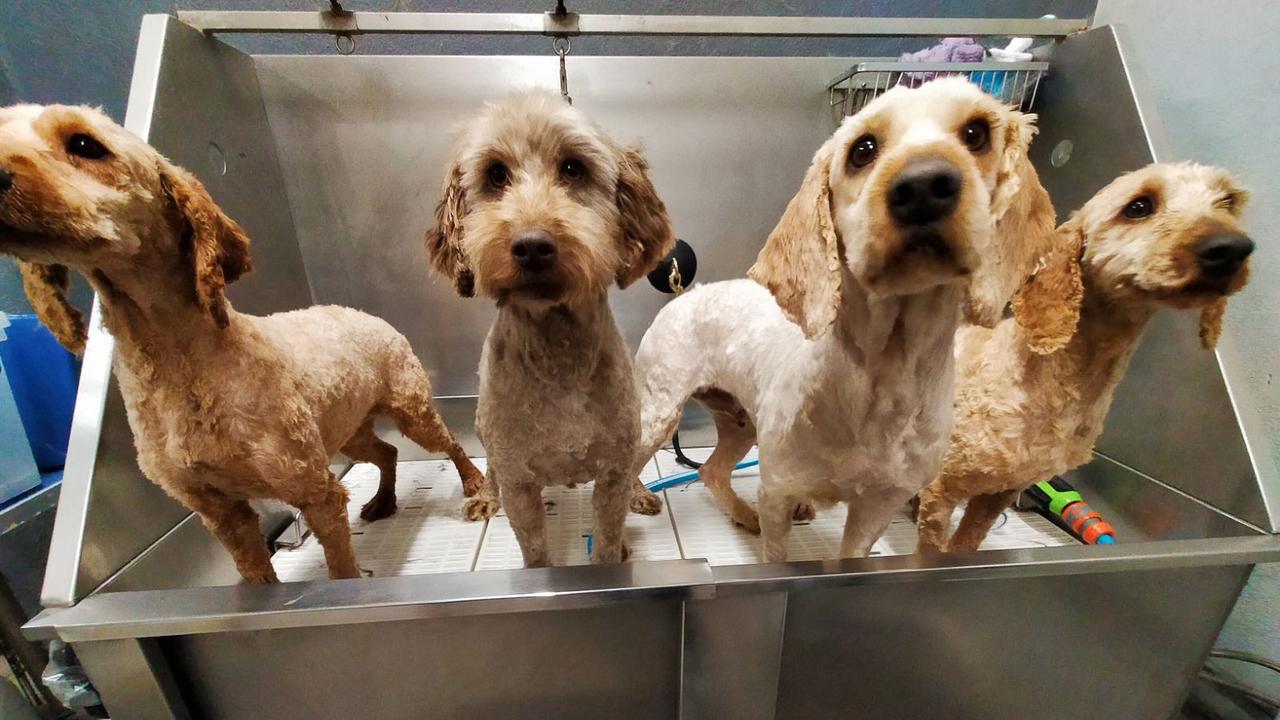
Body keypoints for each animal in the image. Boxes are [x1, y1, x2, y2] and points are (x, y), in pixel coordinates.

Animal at [0, 103, 494, 579]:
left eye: (86, 145)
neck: (180, 362)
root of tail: (362, 314)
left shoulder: (316, 492)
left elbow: (342, 572)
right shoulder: (222, 513)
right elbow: (257, 576)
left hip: (410, 410)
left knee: (449, 444)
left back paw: (473, 483)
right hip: (346, 433)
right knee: (387, 451)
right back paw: (384, 500)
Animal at [424, 89, 675, 563]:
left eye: (573, 168)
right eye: (496, 174)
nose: (531, 246)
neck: (558, 349)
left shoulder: (611, 475)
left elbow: (608, 539)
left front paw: (615, 551)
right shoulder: (520, 485)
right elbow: (535, 552)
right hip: (484, 429)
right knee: (490, 467)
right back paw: (485, 495)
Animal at [629, 78, 1059, 561]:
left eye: (975, 133)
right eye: (863, 149)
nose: (925, 186)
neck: (885, 373)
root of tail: (687, 294)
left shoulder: (877, 507)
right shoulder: (778, 492)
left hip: (741, 422)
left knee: (711, 472)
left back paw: (741, 512)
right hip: (660, 410)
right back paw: (638, 496)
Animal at [916, 162, 1254, 550]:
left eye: (1226, 202)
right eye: (1138, 207)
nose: (1233, 248)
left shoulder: (1001, 491)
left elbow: (966, 543)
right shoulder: (942, 488)